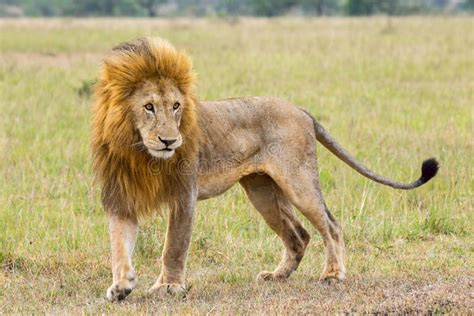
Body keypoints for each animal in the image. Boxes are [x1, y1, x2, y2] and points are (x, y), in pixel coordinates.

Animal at [90, 37, 438, 302]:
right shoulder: (121, 196)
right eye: (148, 107)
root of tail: (300, 109)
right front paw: (120, 287)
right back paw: (278, 275)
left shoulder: (184, 193)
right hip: (262, 190)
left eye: (176, 106)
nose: (170, 141)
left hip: (298, 181)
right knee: (299, 234)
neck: (140, 151)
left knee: (331, 225)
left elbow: (174, 246)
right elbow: (119, 246)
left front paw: (168, 287)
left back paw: (333, 275)